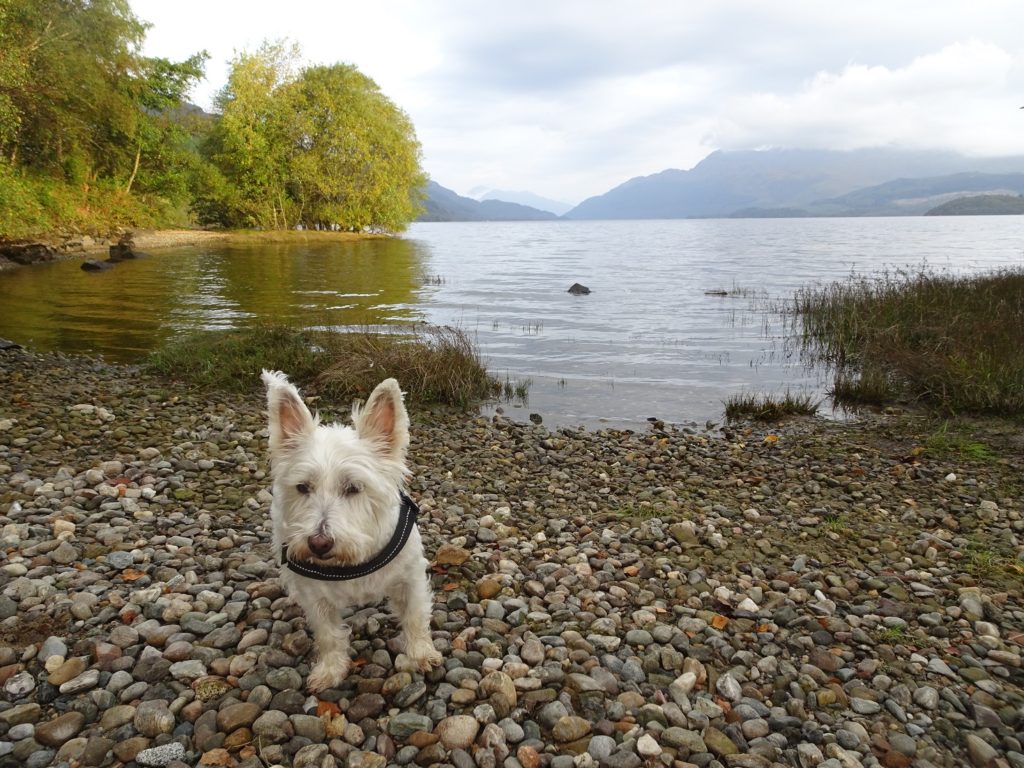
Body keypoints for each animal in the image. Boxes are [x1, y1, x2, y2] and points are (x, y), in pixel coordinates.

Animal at [260, 372, 440, 692]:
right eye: (303, 487)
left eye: (354, 487)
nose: (318, 544)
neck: (354, 560)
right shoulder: (316, 597)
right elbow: (328, 634)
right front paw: (330, 671)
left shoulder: (410, 578)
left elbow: (415, 616)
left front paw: (421, 654)